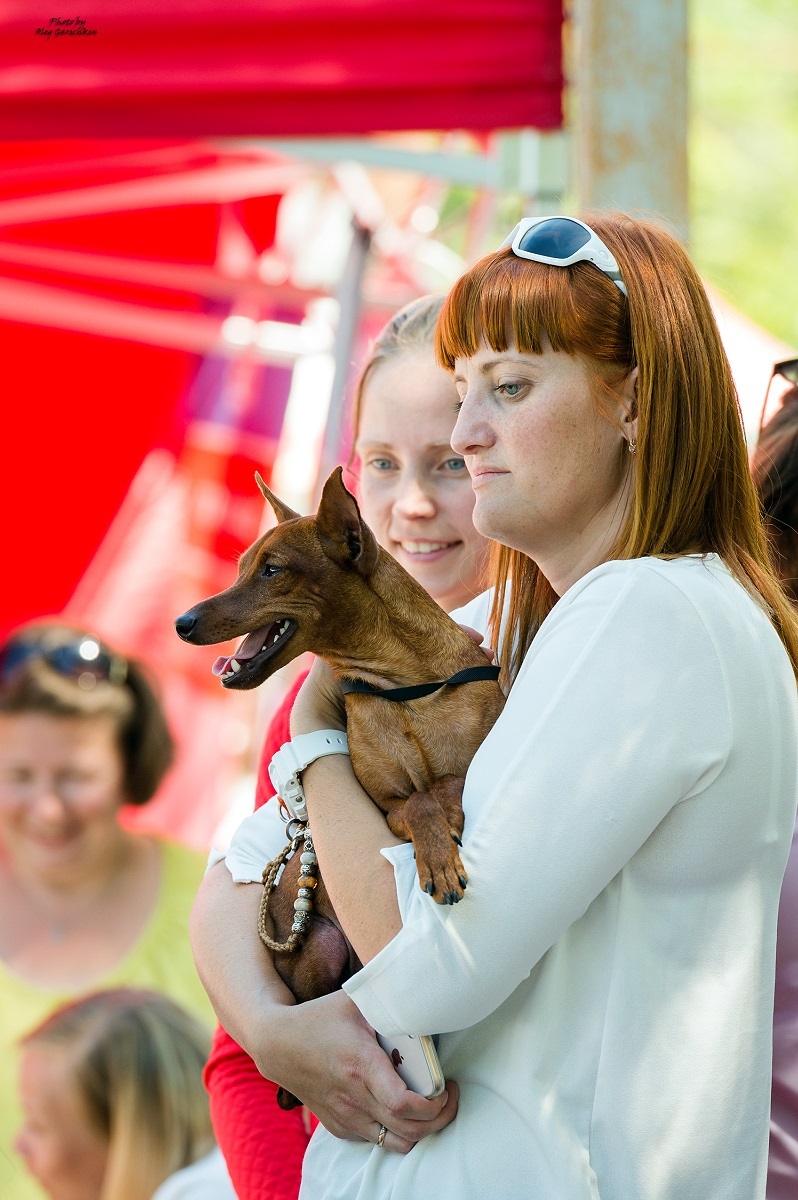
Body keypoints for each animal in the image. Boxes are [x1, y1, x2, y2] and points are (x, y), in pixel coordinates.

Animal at [174, 468, 501, 1041]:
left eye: (272, 571)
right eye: (240, 569)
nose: (183, 622)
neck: (403, 690)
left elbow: (448, 780)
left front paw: (447, 818)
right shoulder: (388, 808)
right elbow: (419, 801)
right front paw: (438, 855)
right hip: (324, 945)